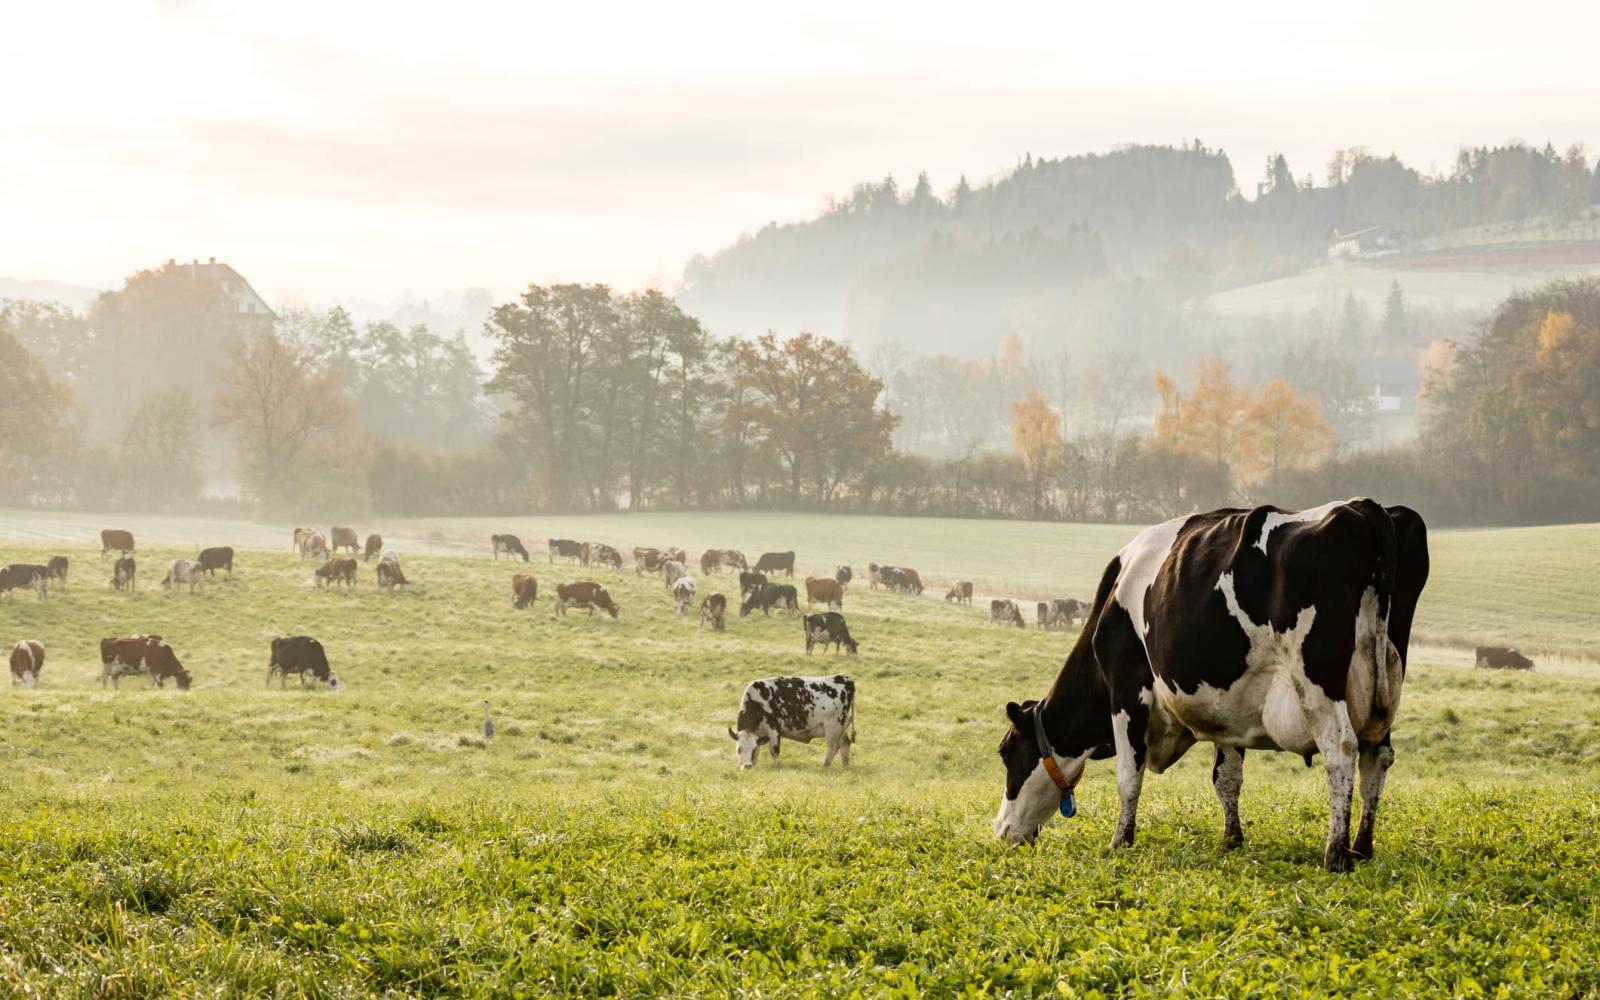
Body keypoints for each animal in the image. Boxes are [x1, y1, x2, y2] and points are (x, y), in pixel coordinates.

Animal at [992, 500, 1429, 873]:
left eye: (1006, 752)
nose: (1001, 830)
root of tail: (1365, 508)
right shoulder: (1230, 708)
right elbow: (1226, 778)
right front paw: (1231, 840)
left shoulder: (1127, 690)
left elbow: (1128, 776)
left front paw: (1120, 842)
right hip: (1384, 684)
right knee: (1377, 757)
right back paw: (1362, 847)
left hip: (1318, 680)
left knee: (1341, 750)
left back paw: (1336, 854)